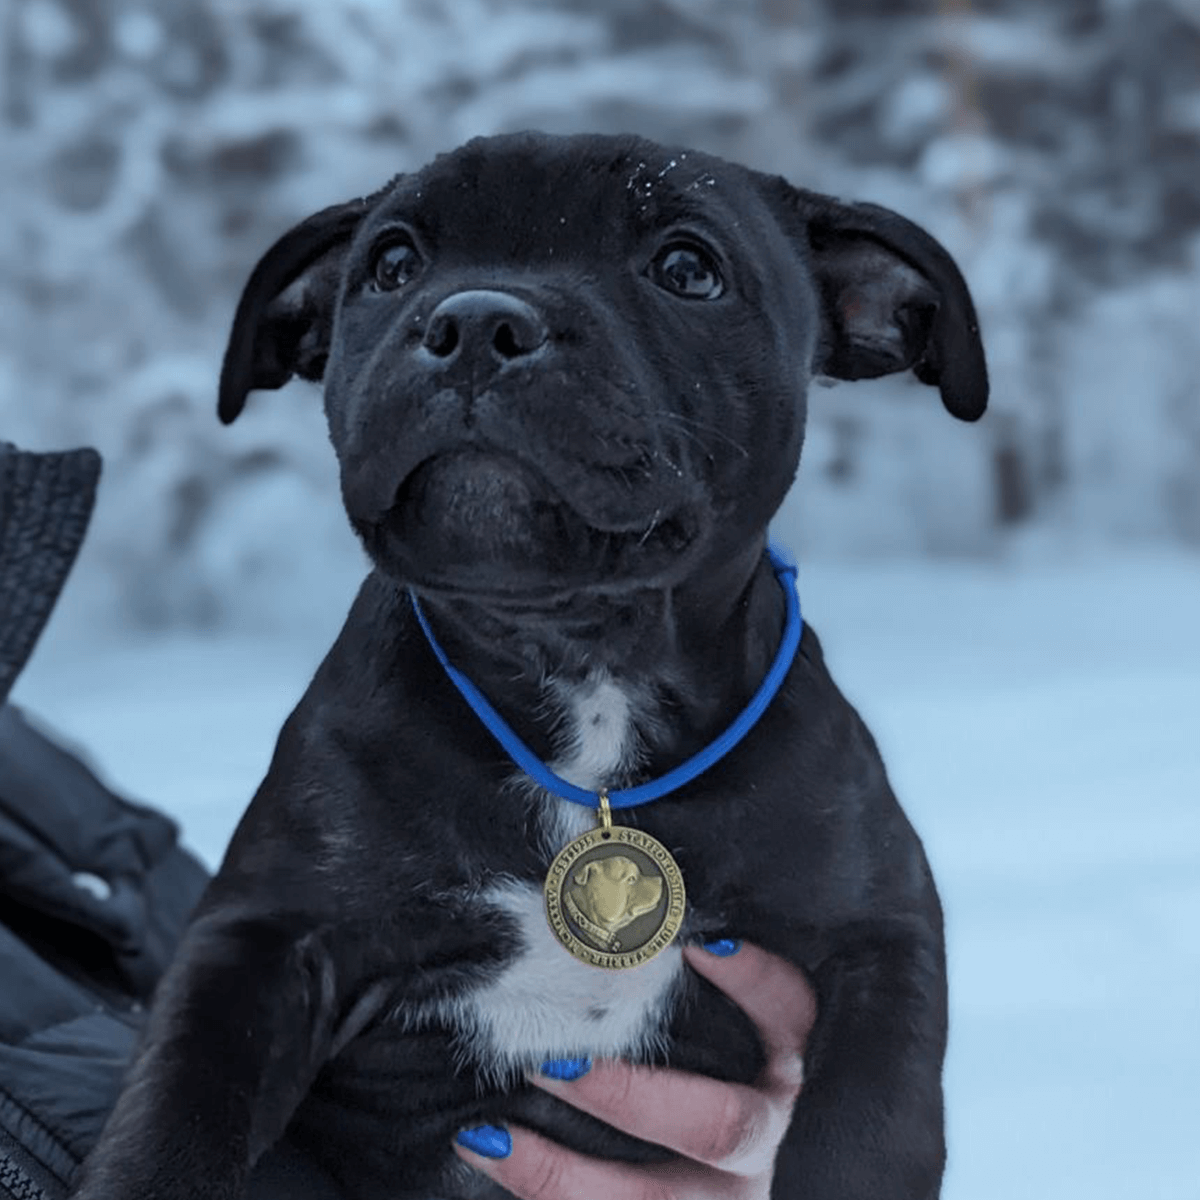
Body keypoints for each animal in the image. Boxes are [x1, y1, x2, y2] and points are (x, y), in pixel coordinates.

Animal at [72, 133, 984, 1200]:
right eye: (393, 263)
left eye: (688, 269)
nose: (475, 322)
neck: (584, 669)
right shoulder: (255, 944)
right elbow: (176, 1114)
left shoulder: (880, 942)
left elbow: (865, 1133)